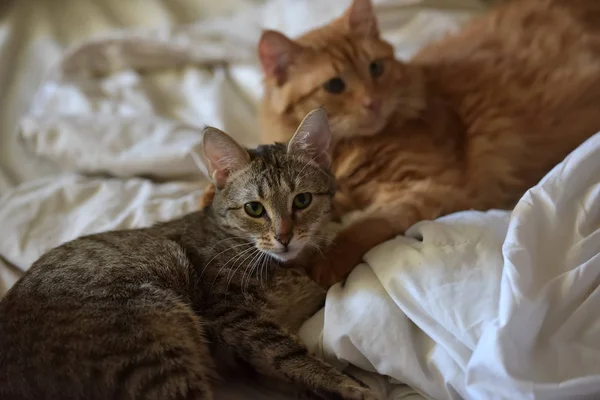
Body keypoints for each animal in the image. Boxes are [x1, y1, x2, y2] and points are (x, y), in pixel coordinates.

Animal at [0, 108, 376, 400]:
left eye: (302, 200)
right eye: (254, 208)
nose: (284, 236)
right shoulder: (234, 315)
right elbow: (293, 355)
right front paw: (352, 387)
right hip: (155, 340)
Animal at [244, 0, 600, 284]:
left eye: (375, 68)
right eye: (334, 85)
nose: (373, 102)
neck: (345, 151)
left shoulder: (426, 188)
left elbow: (360, 227)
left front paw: (325, 261)